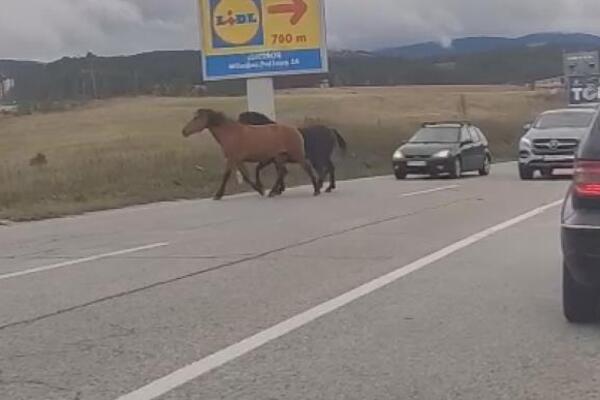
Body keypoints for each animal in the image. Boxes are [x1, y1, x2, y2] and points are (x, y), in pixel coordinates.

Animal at [183, 108, 322, 199]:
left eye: (196, 118)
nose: (184, 131)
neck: (230, 133)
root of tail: (296, 130)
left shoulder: (232, 158)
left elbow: (227, 175)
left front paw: (218, 195)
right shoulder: (238, 160)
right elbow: (245, 176)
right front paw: (260, 189)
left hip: (297, 155)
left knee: (306, 168)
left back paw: (316, 190)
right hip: (280, 157)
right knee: (283, 172)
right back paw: (273, 192)